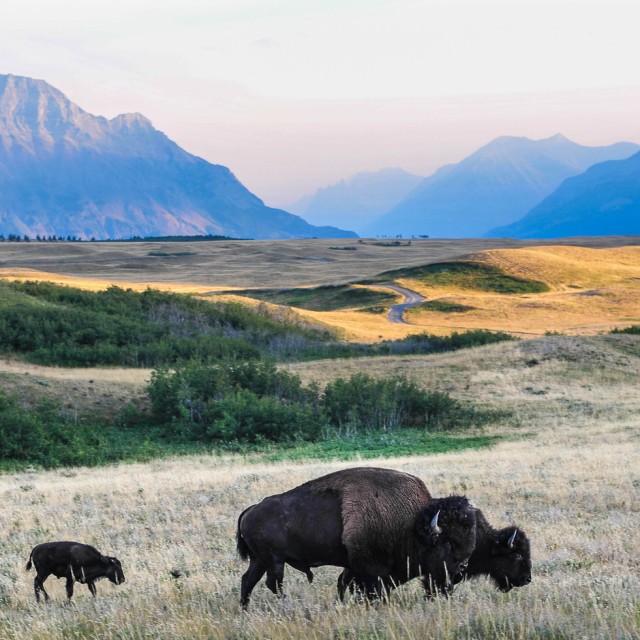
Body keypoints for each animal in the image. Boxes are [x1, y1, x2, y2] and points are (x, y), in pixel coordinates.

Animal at [236, 467, 477, 609]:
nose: (461, 570)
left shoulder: (353, 566)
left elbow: (342, 583)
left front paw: (342, 604)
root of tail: (250, 510)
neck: (412, 525)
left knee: (248, 580)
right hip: (274, 560)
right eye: (448, 543)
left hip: (260, 560)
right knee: (273, 583)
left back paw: (245, 610)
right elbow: (368, 589)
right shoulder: (370, 570)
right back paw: (285, 606)